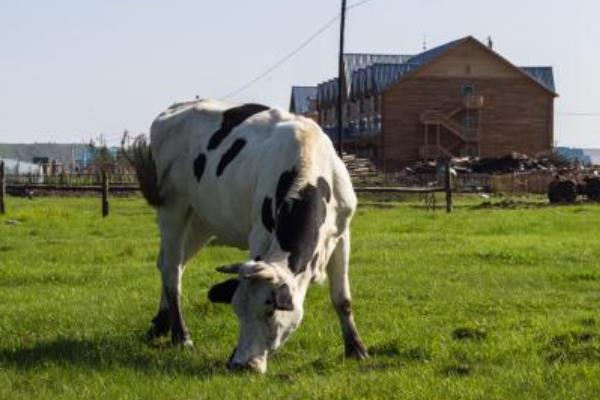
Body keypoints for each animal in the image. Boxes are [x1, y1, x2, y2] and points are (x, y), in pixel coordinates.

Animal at [127, 99, 366, 372]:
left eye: (269, 310)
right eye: (238, 311)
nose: (242, 365)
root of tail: (175, 107)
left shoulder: (341, 234)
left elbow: (342, 299)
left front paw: (356, 349)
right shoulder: (260, 235)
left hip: (201, 221)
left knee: (171, 263)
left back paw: (159, 325)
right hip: (172, 206)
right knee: (171, 270)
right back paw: (181, 336)